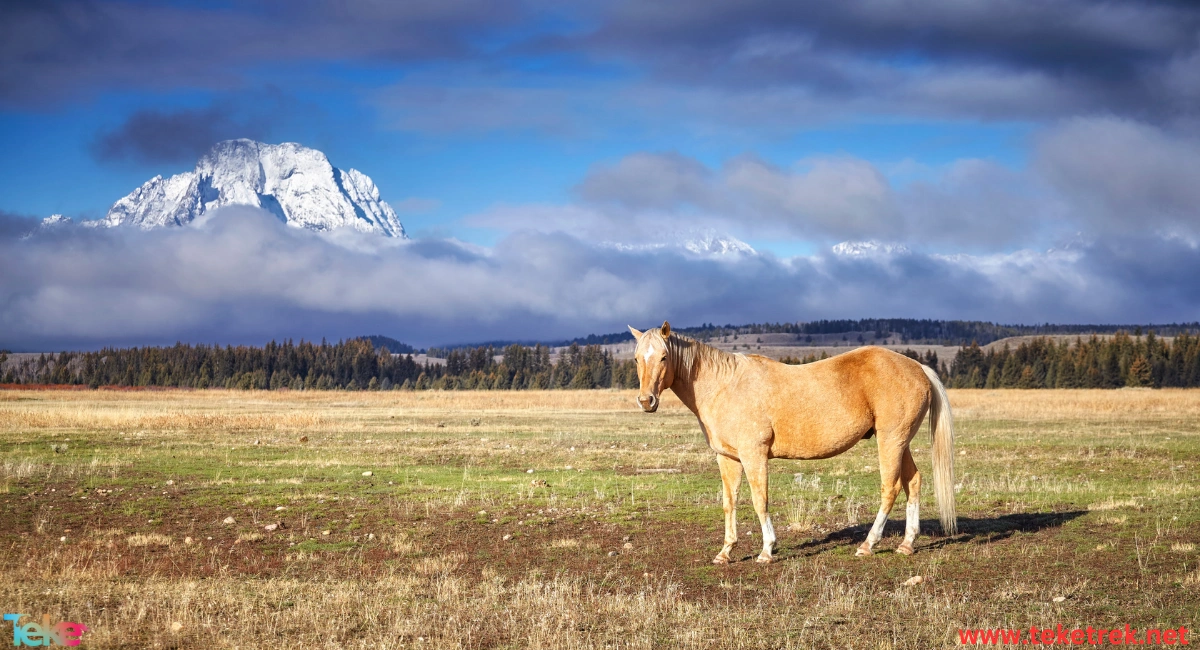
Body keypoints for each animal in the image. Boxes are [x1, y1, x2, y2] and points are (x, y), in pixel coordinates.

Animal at [628, 321, 955, 566]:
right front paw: (725, 552)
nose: (646, 401)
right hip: (901, 443)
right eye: (636, 358)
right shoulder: (728, 458)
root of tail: (918, 368)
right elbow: (729, 503)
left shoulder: (754, 455)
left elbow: (759, 500)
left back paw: (868, 544)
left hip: (890, 441)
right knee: (913, 482)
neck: (724, 386)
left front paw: (766, 551)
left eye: (664, 357)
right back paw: (907, 544)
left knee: (891, 487)